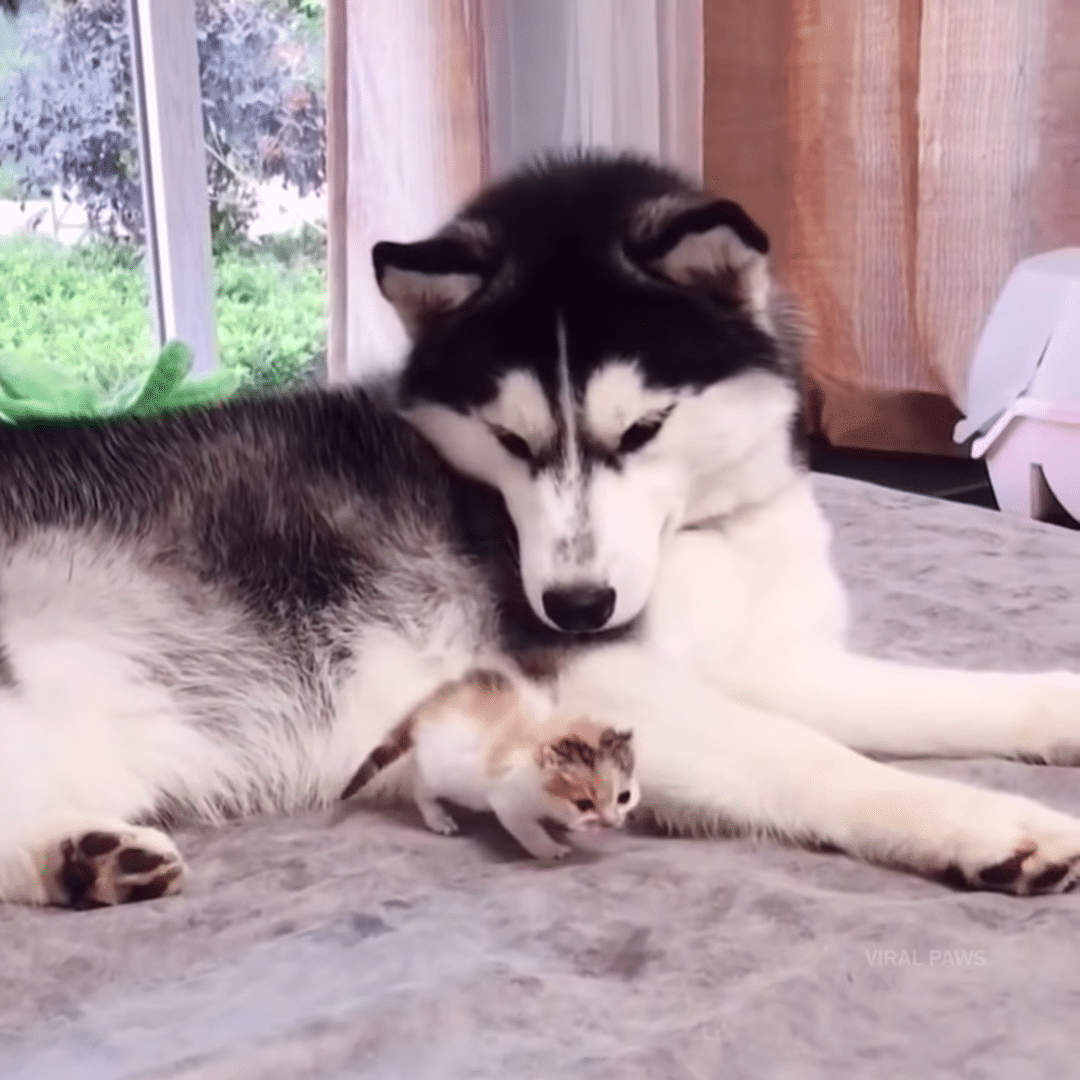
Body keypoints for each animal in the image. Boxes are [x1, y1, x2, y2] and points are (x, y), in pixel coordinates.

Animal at [341, 665, 635, 859]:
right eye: (584, 804)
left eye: (624, 797)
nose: (612, 823)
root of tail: (429, 703)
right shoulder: (509, 800)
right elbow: (528, 831)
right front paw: (552, 849)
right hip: (440, 773)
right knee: (420, 786)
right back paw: (438, 818)